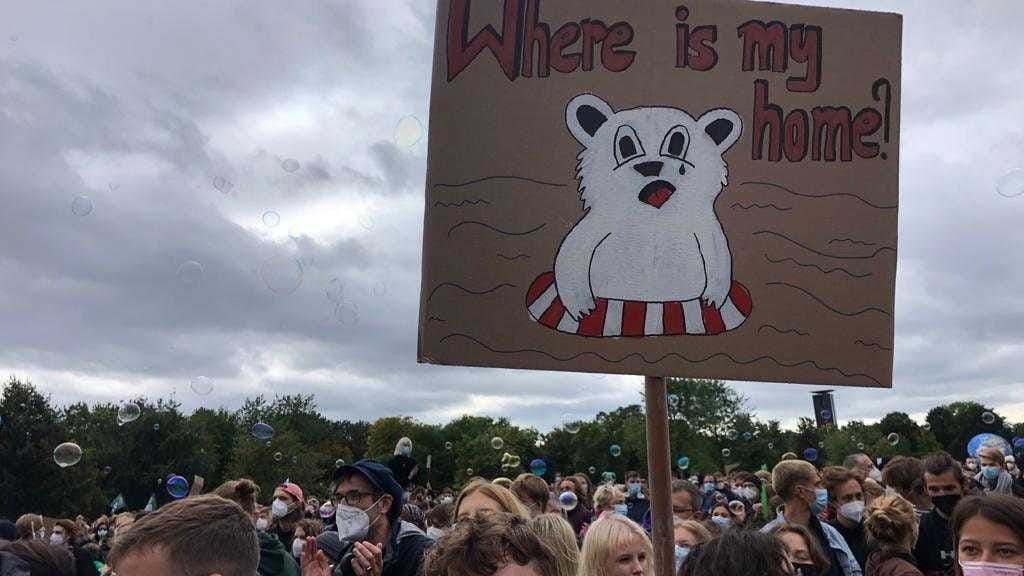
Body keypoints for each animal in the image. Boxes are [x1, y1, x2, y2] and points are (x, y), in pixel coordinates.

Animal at [528, 94, 753, 336]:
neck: (652, 218)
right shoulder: (598, 223)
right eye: (626, 146)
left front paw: (712, 300)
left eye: (677, 144)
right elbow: (573, 253)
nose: (651, 166)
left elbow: (717, 254)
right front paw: (582, 308)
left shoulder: (704, 227)